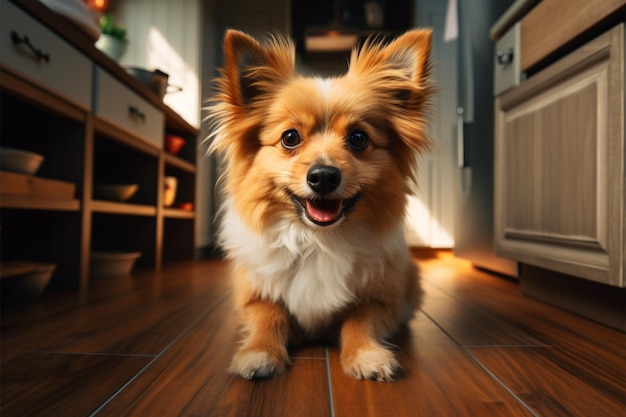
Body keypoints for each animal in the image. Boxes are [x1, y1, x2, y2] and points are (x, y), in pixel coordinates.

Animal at [207, 29, 432, 380]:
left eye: (358, 138)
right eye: (290, 138)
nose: (324, 176)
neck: (316, 240)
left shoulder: (382, 300)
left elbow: (360, 320)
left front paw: (367, 355)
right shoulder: (255, 296)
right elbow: (268, 317)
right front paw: (258, 353)